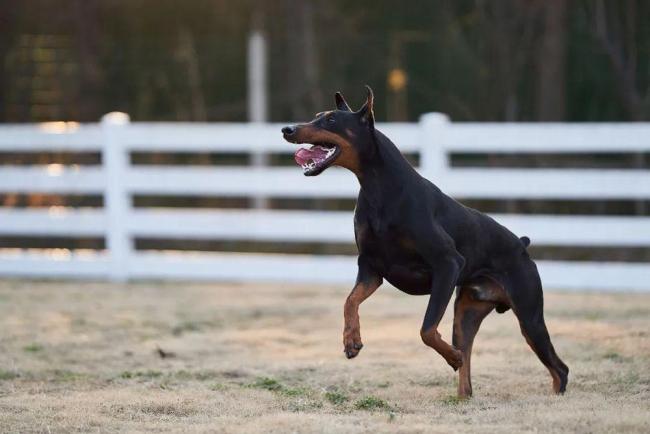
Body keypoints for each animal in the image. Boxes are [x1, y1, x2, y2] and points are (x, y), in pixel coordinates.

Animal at [280, 86, 564, 398]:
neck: (380, 190)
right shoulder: (371, 267)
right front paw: (351, 340)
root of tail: (522, 245)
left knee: (559, 368)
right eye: (317, 116)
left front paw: (451, 357)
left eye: (330, 120)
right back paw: (462, 392)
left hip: (529, 315)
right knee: (467, 351)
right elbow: (350, 300)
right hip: (467, 312)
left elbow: (426, 329)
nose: (287, 129)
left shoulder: (447, 264)